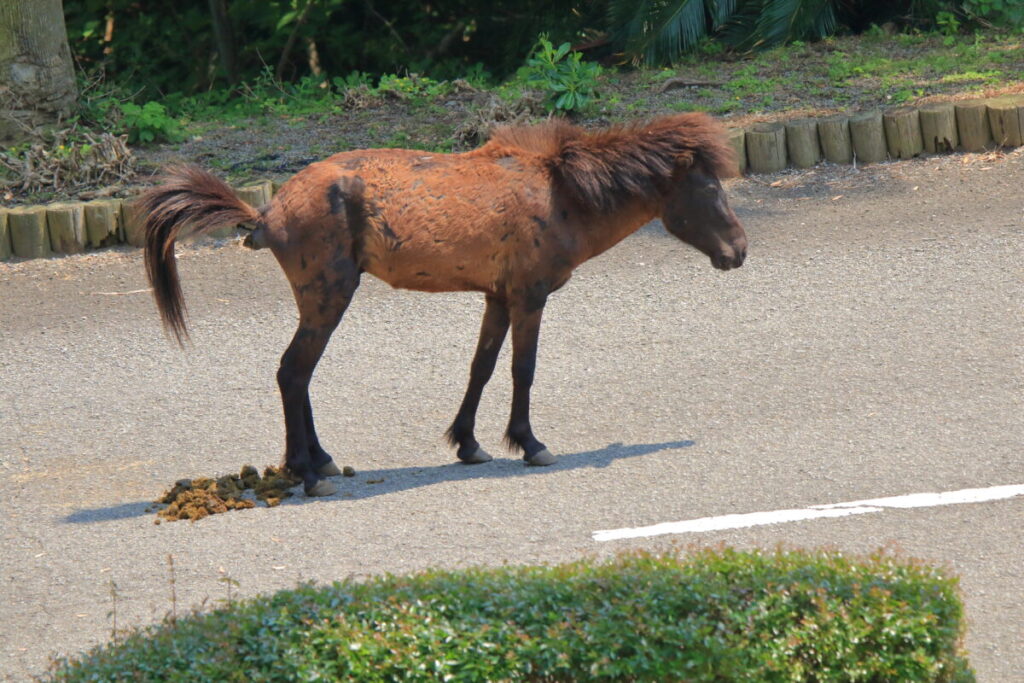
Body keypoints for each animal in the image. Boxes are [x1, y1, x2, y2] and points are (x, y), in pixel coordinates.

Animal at [140, 112, 747, 497]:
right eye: (710, 188)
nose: (739, 251)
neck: (560, 194)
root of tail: (267, 213)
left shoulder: (498, 297)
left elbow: (482, 367)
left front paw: (469, 443)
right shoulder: (529, 298)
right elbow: (523, 370)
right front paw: (529, 443)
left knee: (300, 376)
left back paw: (321, 461)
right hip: (328, 298)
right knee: (293, 372)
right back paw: (308, 474)